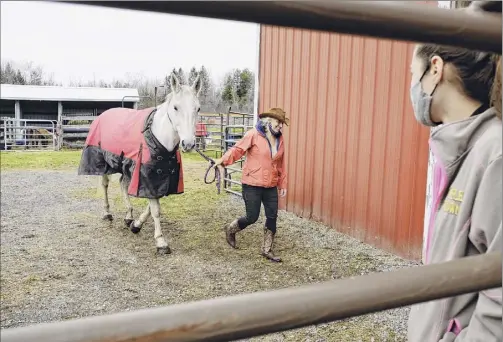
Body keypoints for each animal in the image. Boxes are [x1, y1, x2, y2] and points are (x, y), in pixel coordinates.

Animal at [99, 73, 202, 254]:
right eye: (175, 107)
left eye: (198, 109)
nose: (188, 144)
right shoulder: (146, 176)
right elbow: (155, 209)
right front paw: (161, 242)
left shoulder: (157, 179)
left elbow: (151, 205)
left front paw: (136, 224)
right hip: (106, 162)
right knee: (105, 184)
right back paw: (107, 213)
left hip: (126, 166)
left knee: (122, 184)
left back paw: (128, 216)